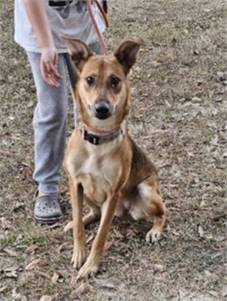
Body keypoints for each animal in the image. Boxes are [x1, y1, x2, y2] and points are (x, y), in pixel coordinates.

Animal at [63, 37, 166, 278]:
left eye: (115, 81)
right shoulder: (75, 183)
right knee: (92, 212)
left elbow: (101, 236)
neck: (97, 141)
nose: (101, 109)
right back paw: (77, 222)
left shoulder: (113, 194)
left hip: (146, 191)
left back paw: (155, 230)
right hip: (86, 193)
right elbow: (80, 226)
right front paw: (79, 252)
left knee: (163, 212)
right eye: (89, 79)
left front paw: (91, 265)